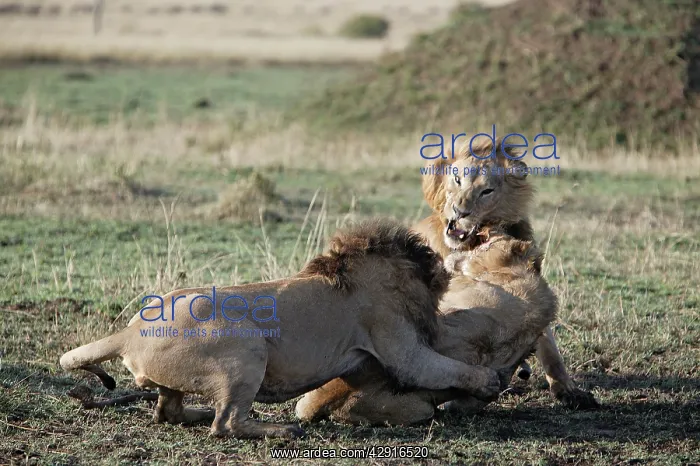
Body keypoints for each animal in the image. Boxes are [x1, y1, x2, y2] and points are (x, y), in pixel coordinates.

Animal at [59, 219, 501, 439]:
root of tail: (128, 332)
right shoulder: (401, 347)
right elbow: (445, 369)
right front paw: (491, 380)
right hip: (248, 348)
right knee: (226, 425)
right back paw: (281, 429)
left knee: (169, 412)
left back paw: (200, 412)